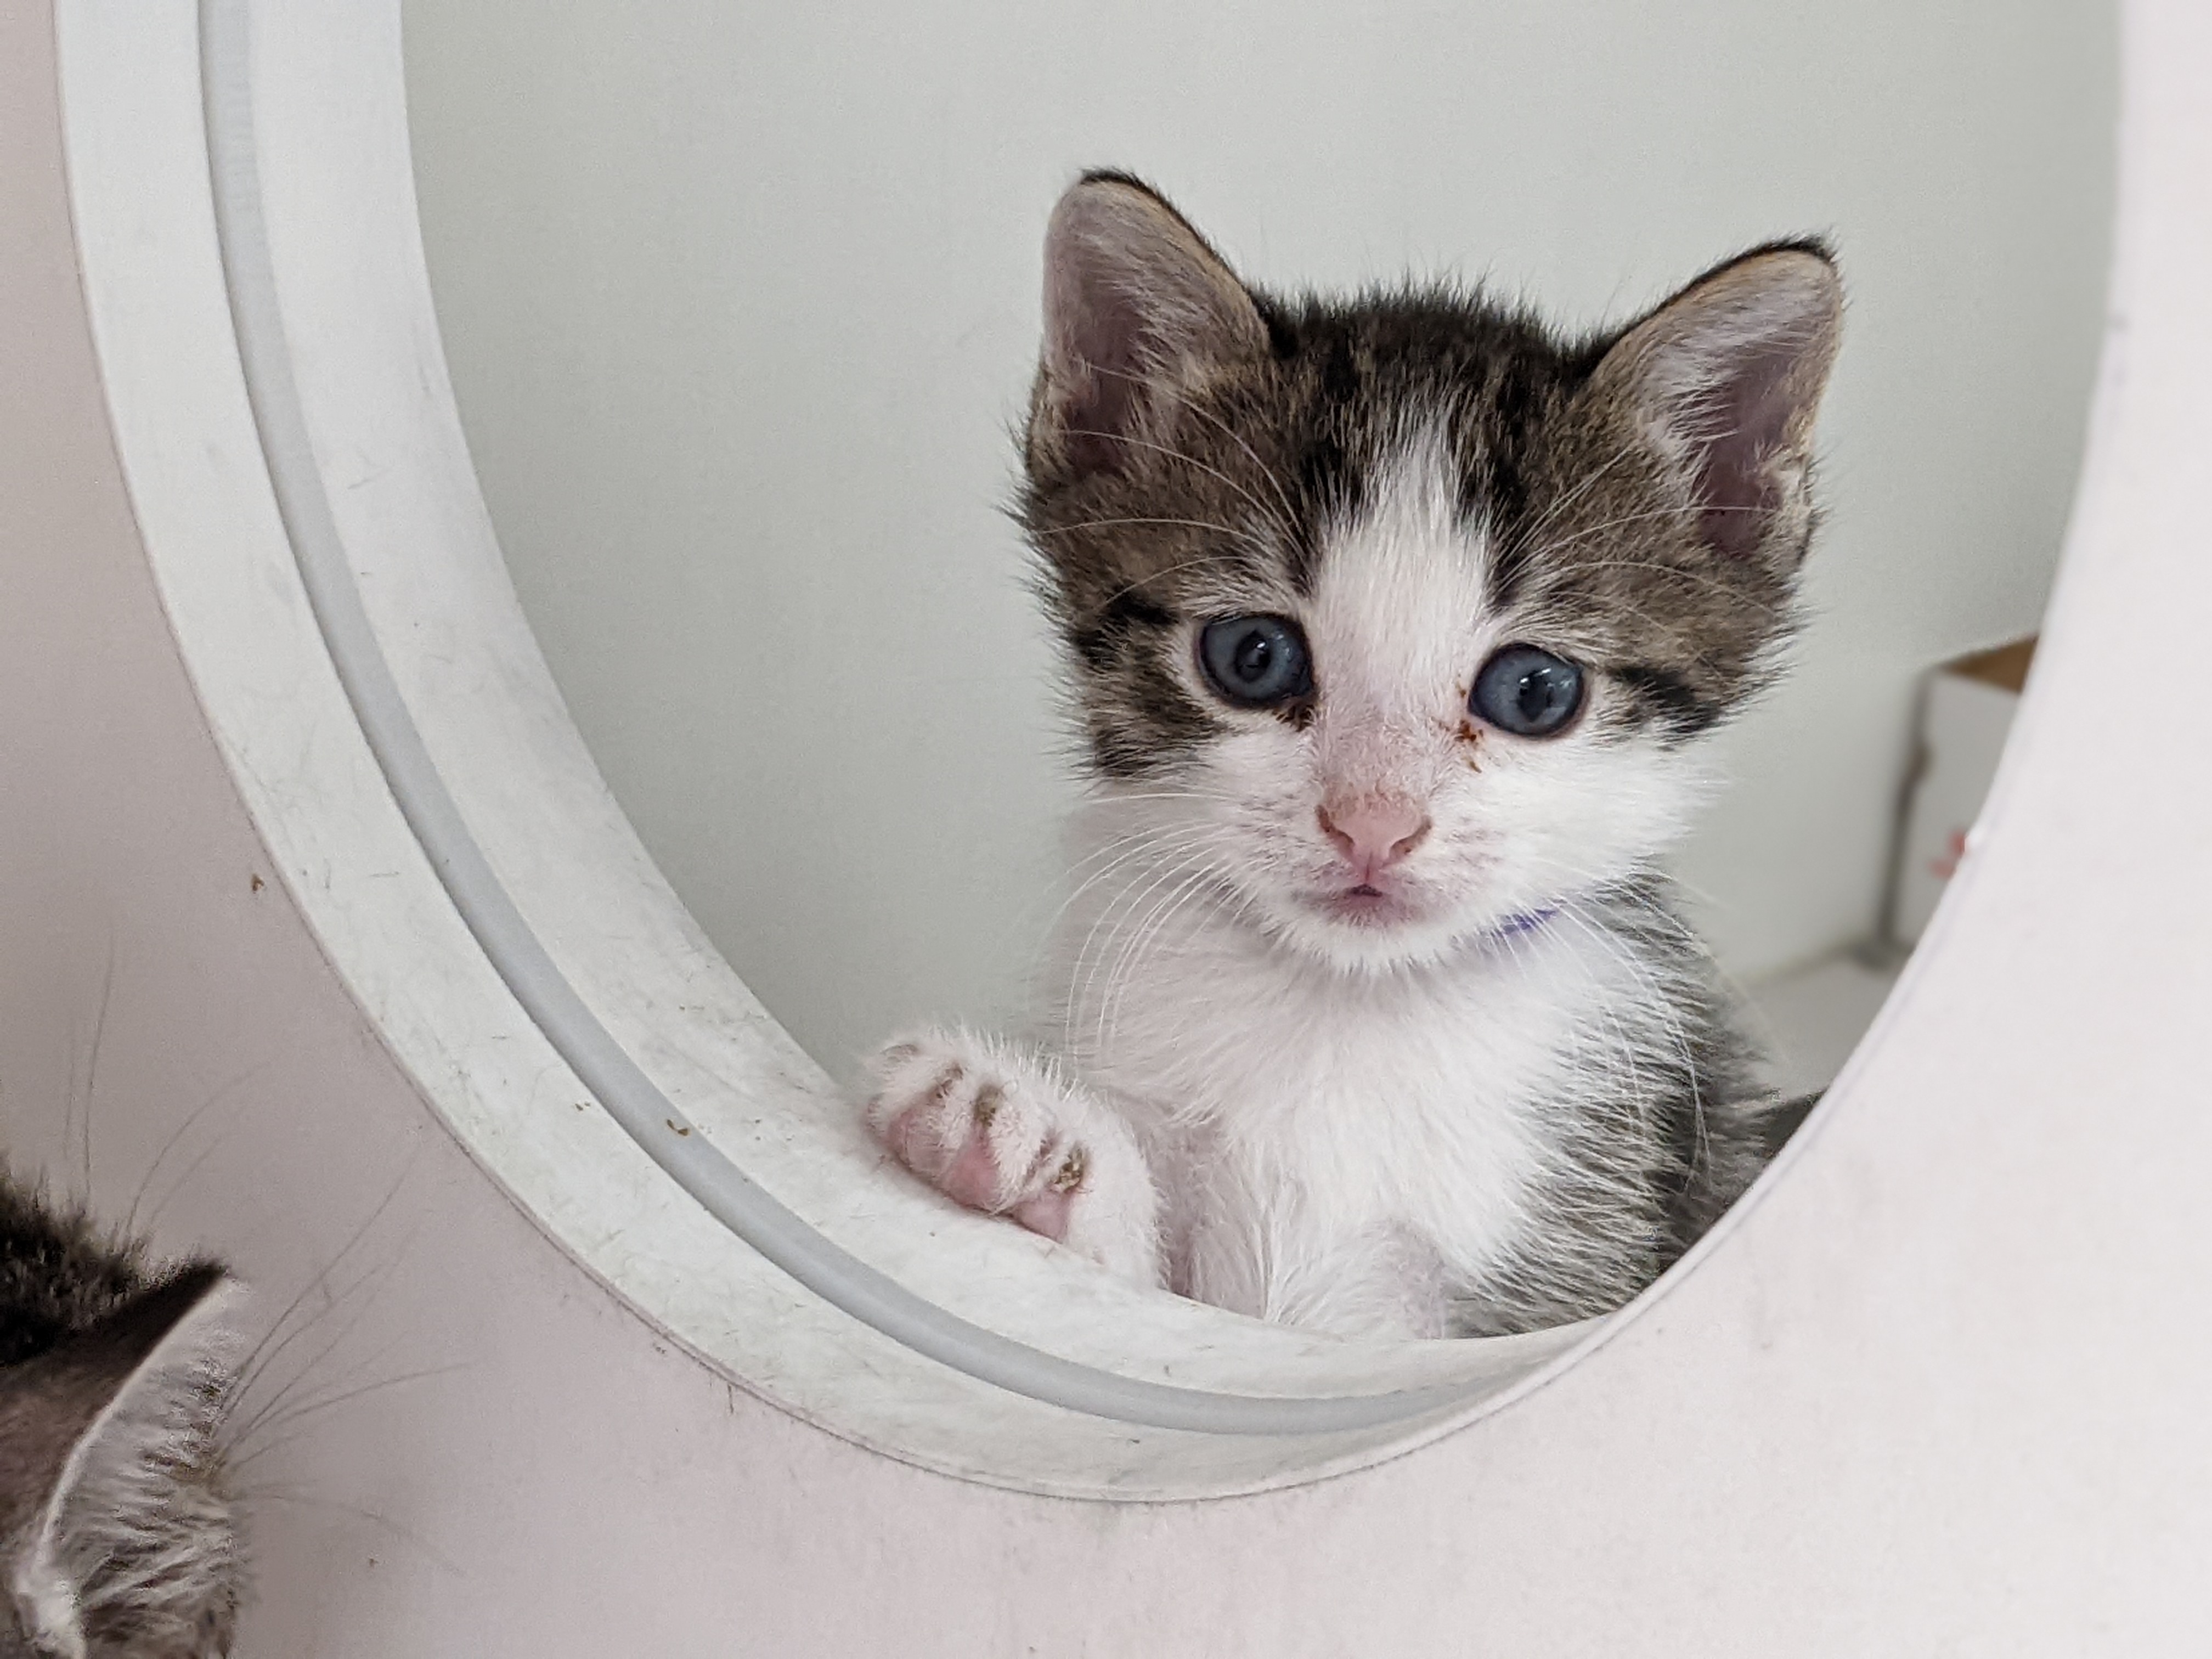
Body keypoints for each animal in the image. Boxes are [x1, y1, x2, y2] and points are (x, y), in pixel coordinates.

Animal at [862, 176, 1831, 1345]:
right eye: (1251, 655)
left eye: (1535, 690)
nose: (1373, 820)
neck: (1343, 1001)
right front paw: (1031, 1143)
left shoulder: (1567, 1263)